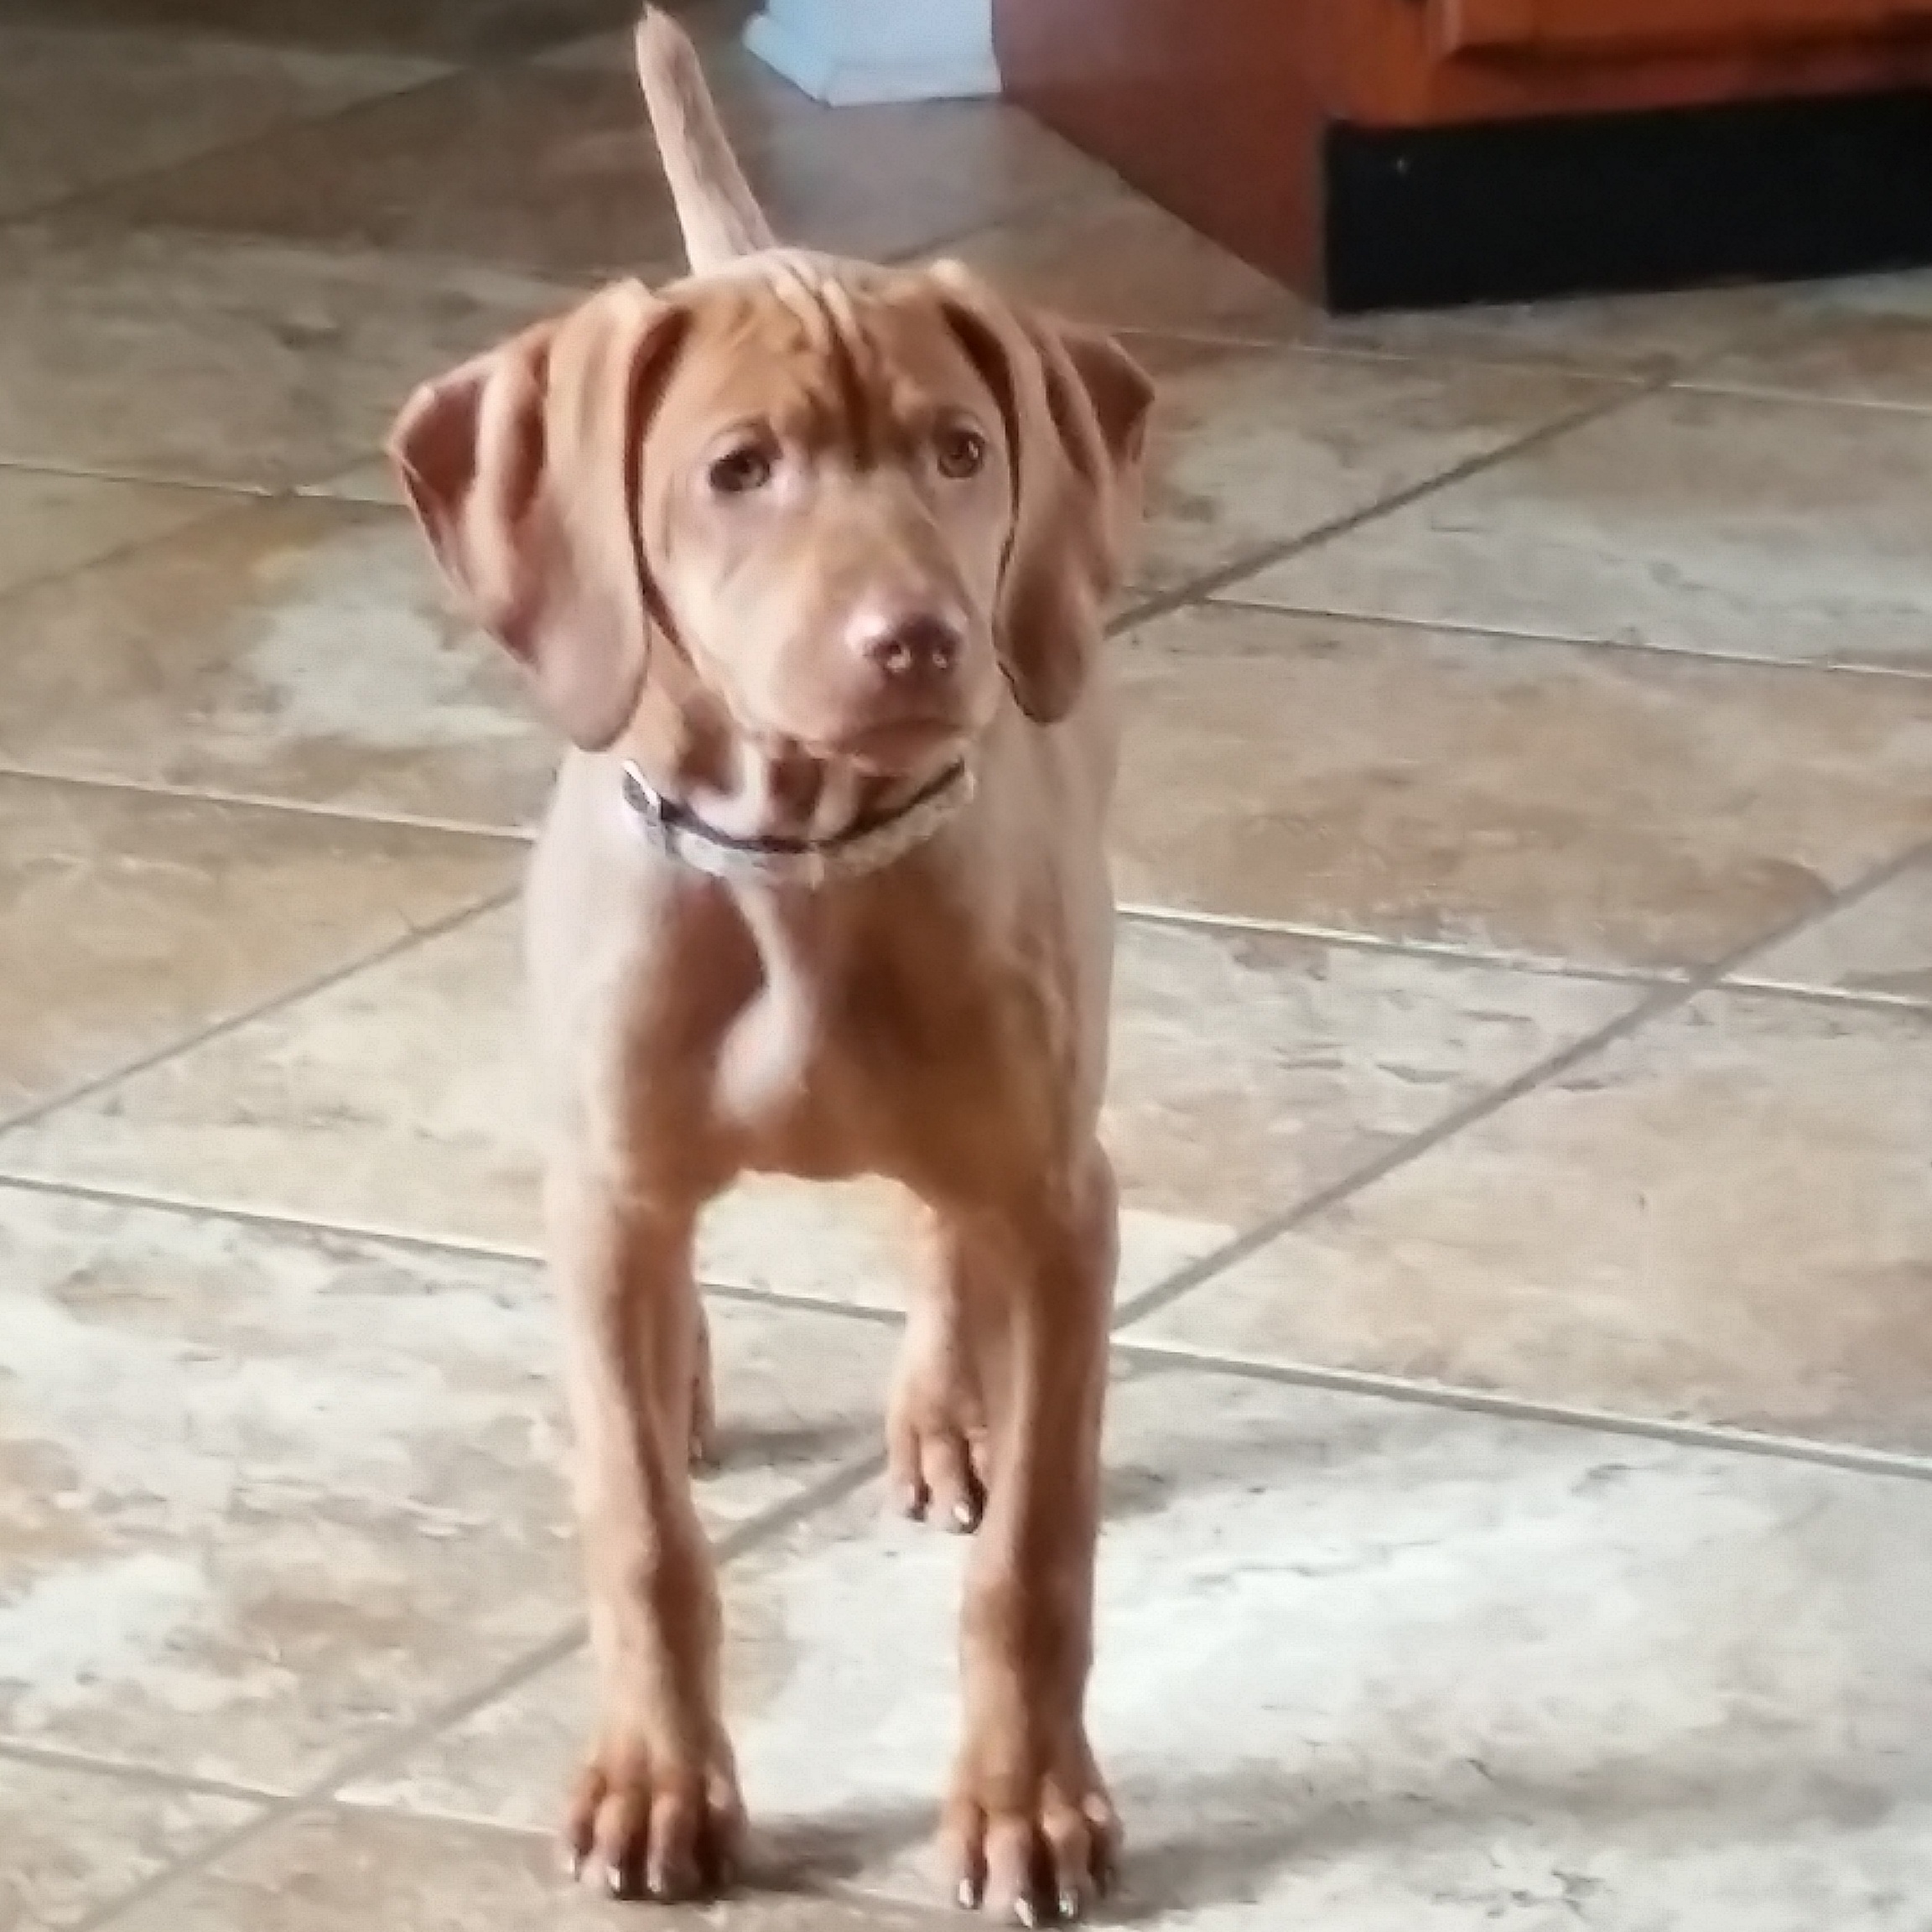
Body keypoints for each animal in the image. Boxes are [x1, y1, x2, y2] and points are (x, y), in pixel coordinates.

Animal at [388, 12, 1152, 1922]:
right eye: (738, 470)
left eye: (959, 452)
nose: (924, 643)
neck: (803, 866)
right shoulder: (607, 1190)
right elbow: (642, 1538)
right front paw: (659, 1779)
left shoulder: (1063, 1195)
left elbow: (1037, 1554)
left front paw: (1028, 1799)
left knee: (950, 1240)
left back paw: (947, 1408)